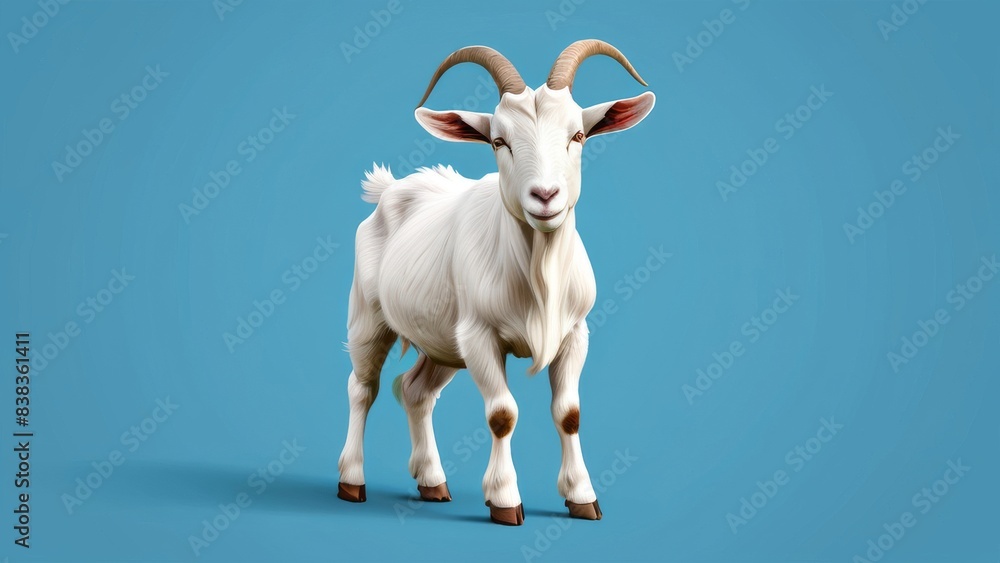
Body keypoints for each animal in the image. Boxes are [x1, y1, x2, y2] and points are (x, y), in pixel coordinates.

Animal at [336, 40, 655, 525]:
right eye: (498, 140)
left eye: (578, 136)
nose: (545, 196)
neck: (539, 276)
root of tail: (388, 188)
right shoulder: (480, 335)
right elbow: (502, 414)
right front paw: (505, 500)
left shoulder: (574, 334)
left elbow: (569, 413)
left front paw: (582, 497)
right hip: (370, 317)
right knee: (362, 388)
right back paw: (352, 481)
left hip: (443, 340)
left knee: (415, 391)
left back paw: (433, 483)